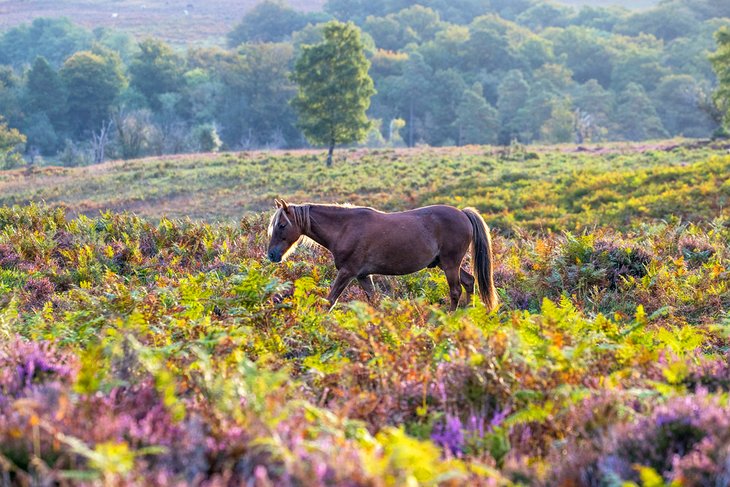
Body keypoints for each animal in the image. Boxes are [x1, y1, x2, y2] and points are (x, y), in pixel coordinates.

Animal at [264, 199, 498, 310]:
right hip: (446, 264)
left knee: (456, 290)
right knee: (469, 281)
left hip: (450, 264)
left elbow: (330, 300)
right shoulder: (362, 276)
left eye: (282, 225)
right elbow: (373, 300)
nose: (272, 255)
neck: (345, 227)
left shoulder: (347, 272)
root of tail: (463, 214)